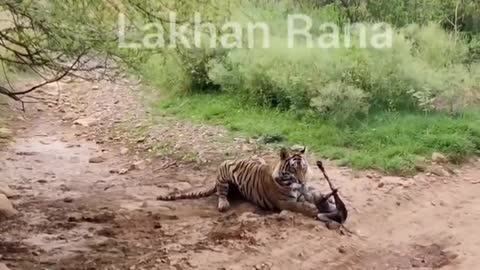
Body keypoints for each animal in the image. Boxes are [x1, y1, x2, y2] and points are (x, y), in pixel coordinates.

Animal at [158, 146, 334, 217]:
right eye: (293, 170)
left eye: (303, 168)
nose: (302, 182)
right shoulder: (283, 202)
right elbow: (297, 206)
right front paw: (311, 209)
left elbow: (316, 194)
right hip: (224, 174)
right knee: (221, 194)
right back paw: (223, 204)